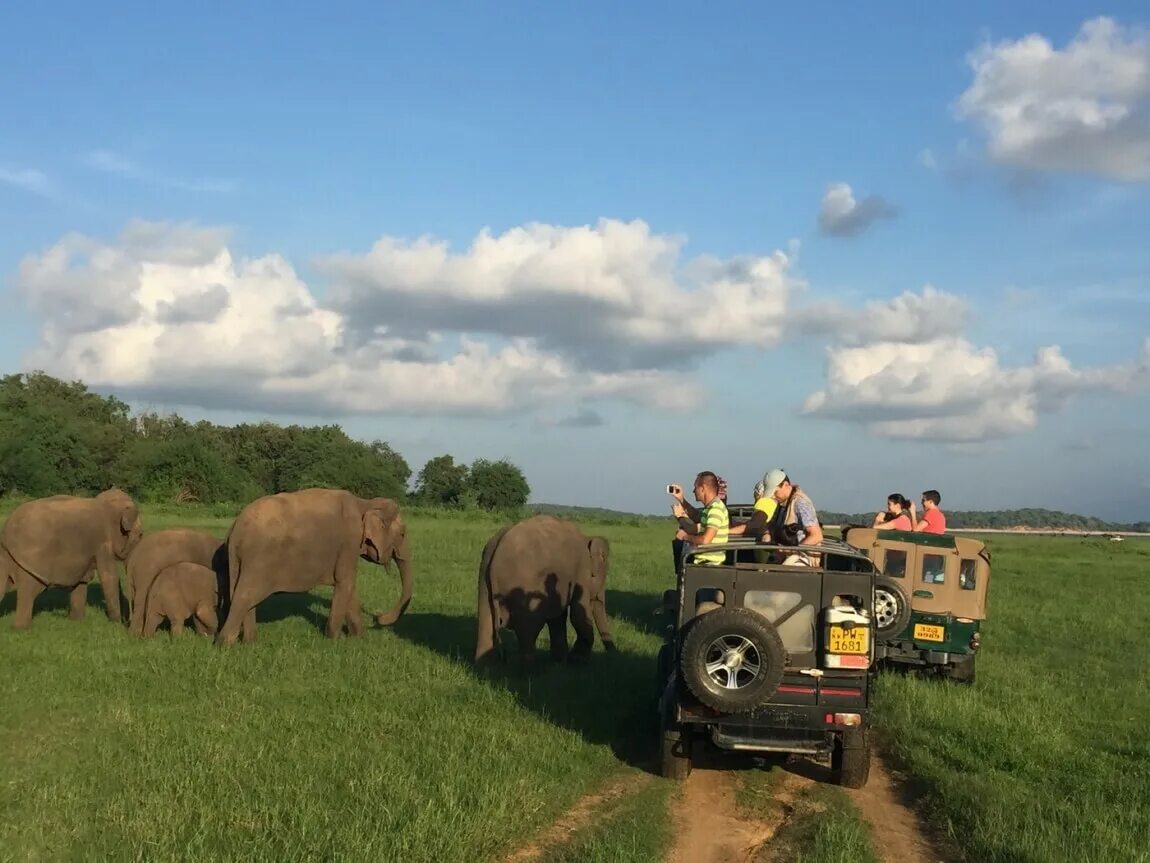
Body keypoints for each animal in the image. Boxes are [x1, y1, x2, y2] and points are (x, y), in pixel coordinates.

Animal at [1, 492, 143, 630]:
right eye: (141, 535)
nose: (126, 620)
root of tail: (6, 533)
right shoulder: (102, 542)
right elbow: (109, 577)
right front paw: (116, 623)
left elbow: (82, 580)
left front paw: (77, 622)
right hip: (33, 560)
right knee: (29, 590)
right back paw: (21, 628)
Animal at [216, 490, 414, 644]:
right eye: (403, 534)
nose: (379, 616)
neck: (365, 502)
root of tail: (235, 529)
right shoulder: (349, 542)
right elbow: (345, 582)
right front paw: (335, 641)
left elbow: (349, 587)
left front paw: (358, 638)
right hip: (259, 559)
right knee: (244, 597)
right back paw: (225, 645)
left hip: (239, 562)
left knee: (244, 598)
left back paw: (250, 643)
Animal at [471, 517, 616, 667]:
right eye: (604, 577)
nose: (613, 655)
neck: (587, 538)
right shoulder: (581, 574)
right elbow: (578, 614)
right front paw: (577, 661)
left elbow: (558, 617)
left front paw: (560, 663)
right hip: (524, 587)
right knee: (529, 629)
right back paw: (529, 669)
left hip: (484, 579)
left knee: (486, 621)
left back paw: (484, 667)